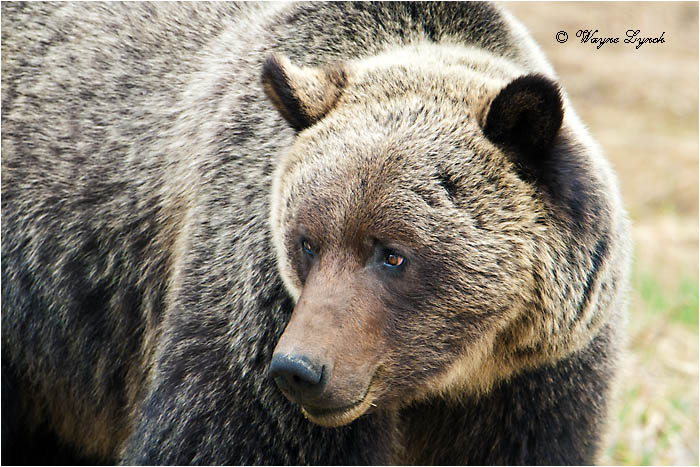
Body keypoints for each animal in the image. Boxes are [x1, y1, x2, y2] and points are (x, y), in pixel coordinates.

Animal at [1, 2, 631, 465]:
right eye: (306, 240)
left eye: (393, 254)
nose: (299, 370)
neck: (452, 375)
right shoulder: (254, 311)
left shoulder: (534, 379)